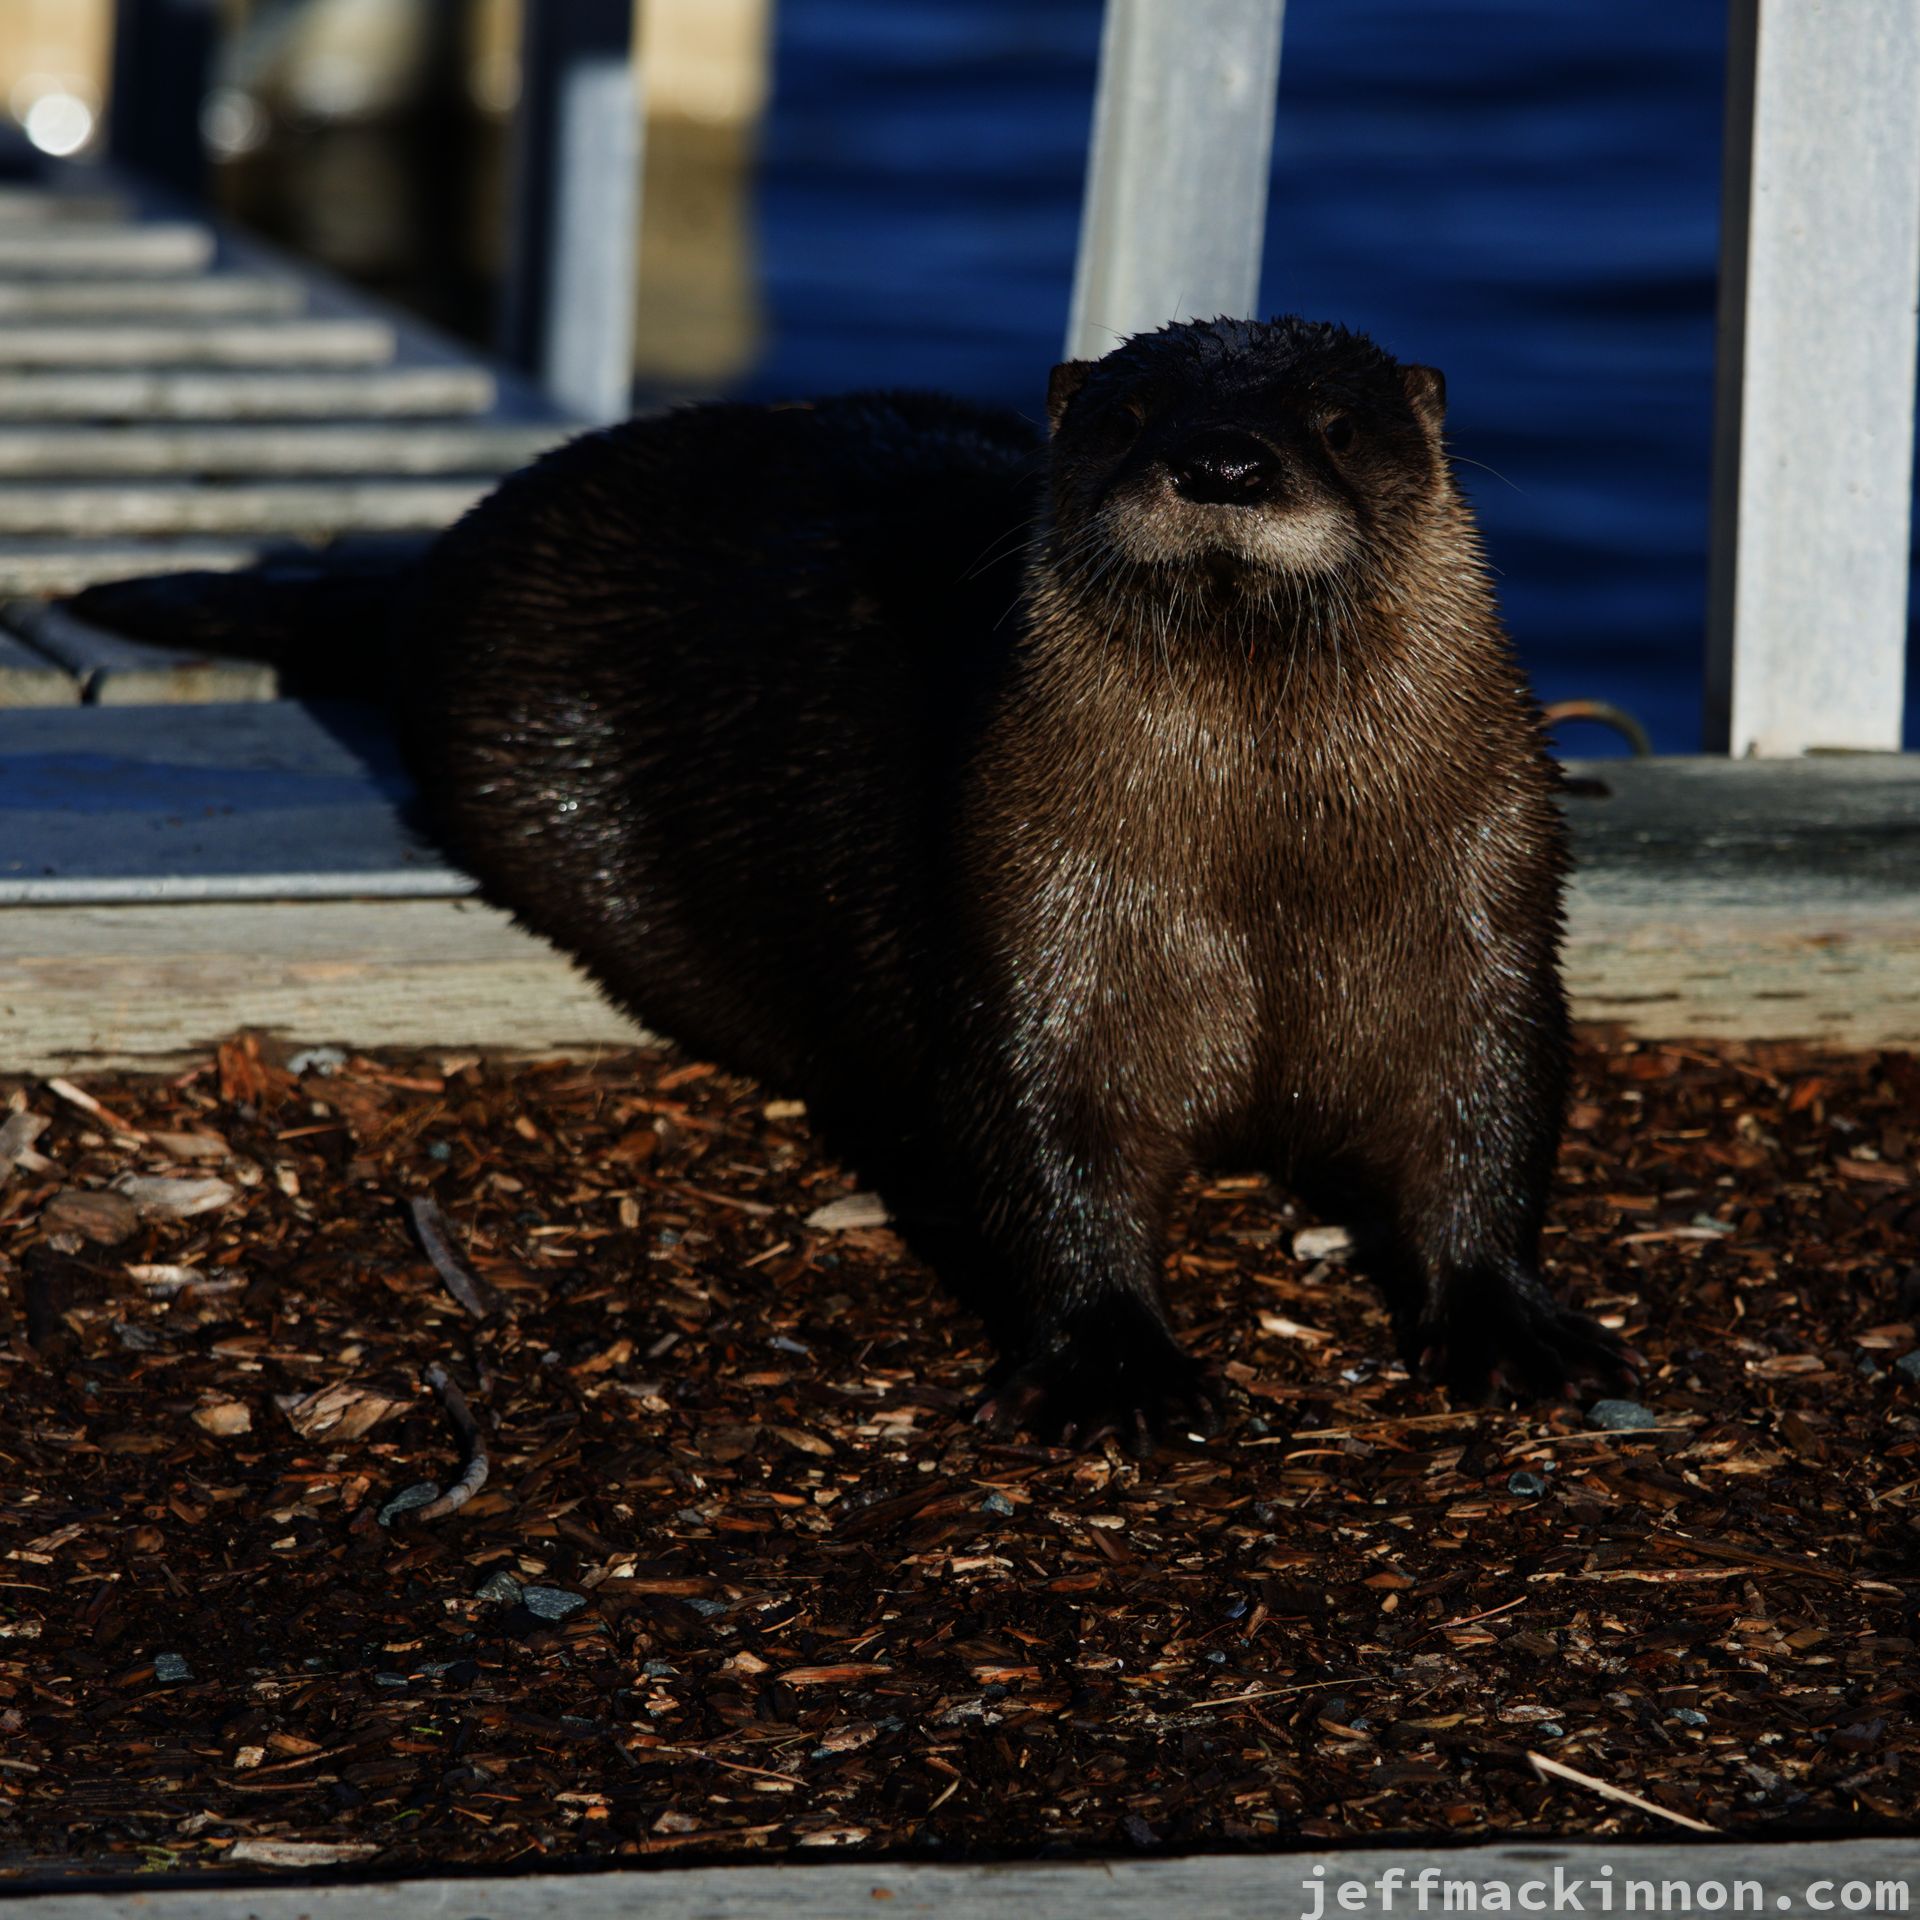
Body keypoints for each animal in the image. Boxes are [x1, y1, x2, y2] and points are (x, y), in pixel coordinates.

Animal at [72, 316, 1628, 1448]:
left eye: (1337, 424)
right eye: (1129, 419)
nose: (1227, 464)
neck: (1267, 878)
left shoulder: (1482, 908)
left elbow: (1491, 1111)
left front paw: (1513, 1327)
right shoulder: (1026, 915)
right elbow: (1044, 1144)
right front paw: (1118, 1367)